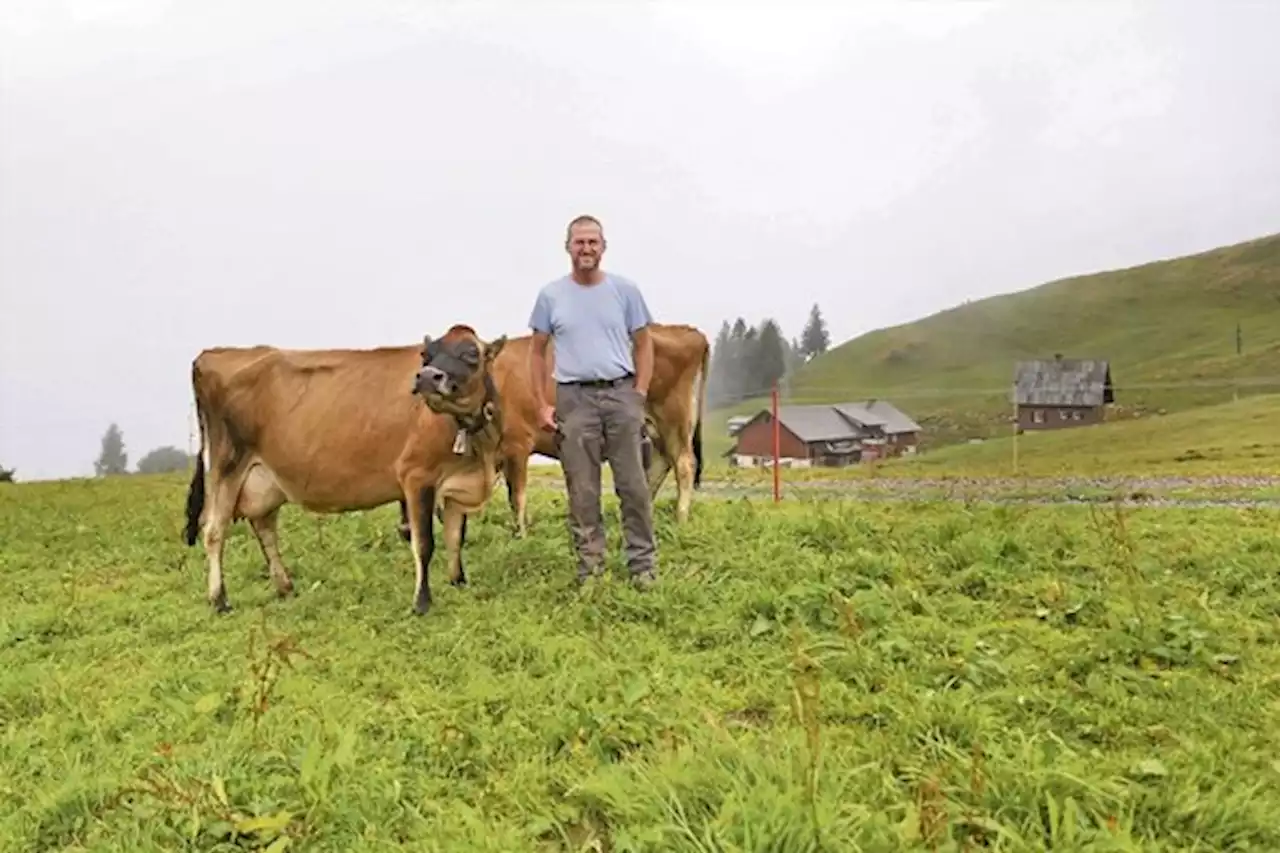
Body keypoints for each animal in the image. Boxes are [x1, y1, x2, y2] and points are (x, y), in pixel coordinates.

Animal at [181, 320, 509, 612]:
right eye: (425, 354)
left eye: (471, 354)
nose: (427, 377)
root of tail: (214, 354)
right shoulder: (416, 476)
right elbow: (424, 543)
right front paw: (422, 603)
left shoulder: (457, 482)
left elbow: (455, 536)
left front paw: (459, 583)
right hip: (227, 464)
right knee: (214, 531)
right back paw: (219, 600)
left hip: (264, 477)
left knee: (264, 527)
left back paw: (285, 587)